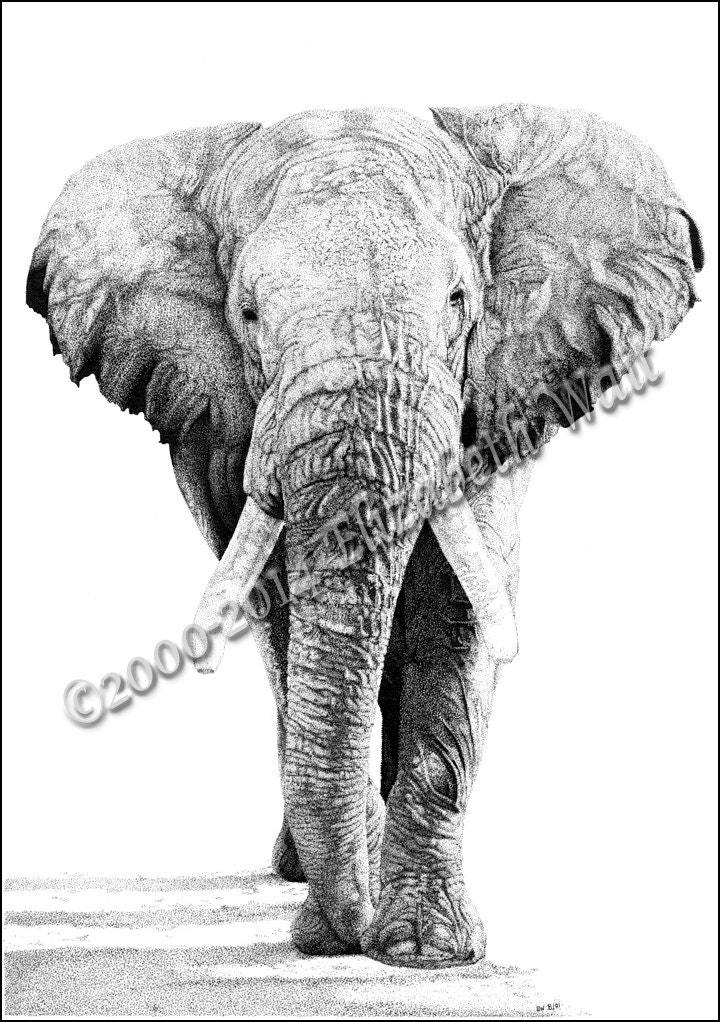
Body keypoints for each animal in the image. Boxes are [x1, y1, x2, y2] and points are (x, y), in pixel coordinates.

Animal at [26, 105, 702, 968]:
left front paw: (421, 951)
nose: (346, 931)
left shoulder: (493, 391)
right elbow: (289, 612)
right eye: (248, 314)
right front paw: (339, 928)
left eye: (458, 299)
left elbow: (458, 615)